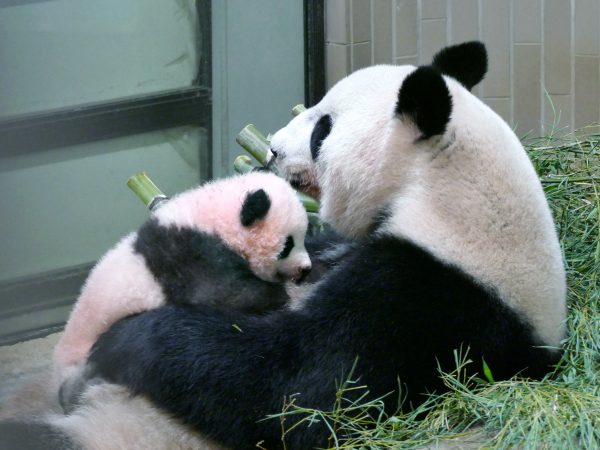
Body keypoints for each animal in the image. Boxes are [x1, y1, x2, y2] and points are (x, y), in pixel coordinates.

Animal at [4, 42, 564, 450]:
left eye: (322, 129)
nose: (271, 148)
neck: (444, 192)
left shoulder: (427, 296)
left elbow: (296, 392)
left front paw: (120, 342)